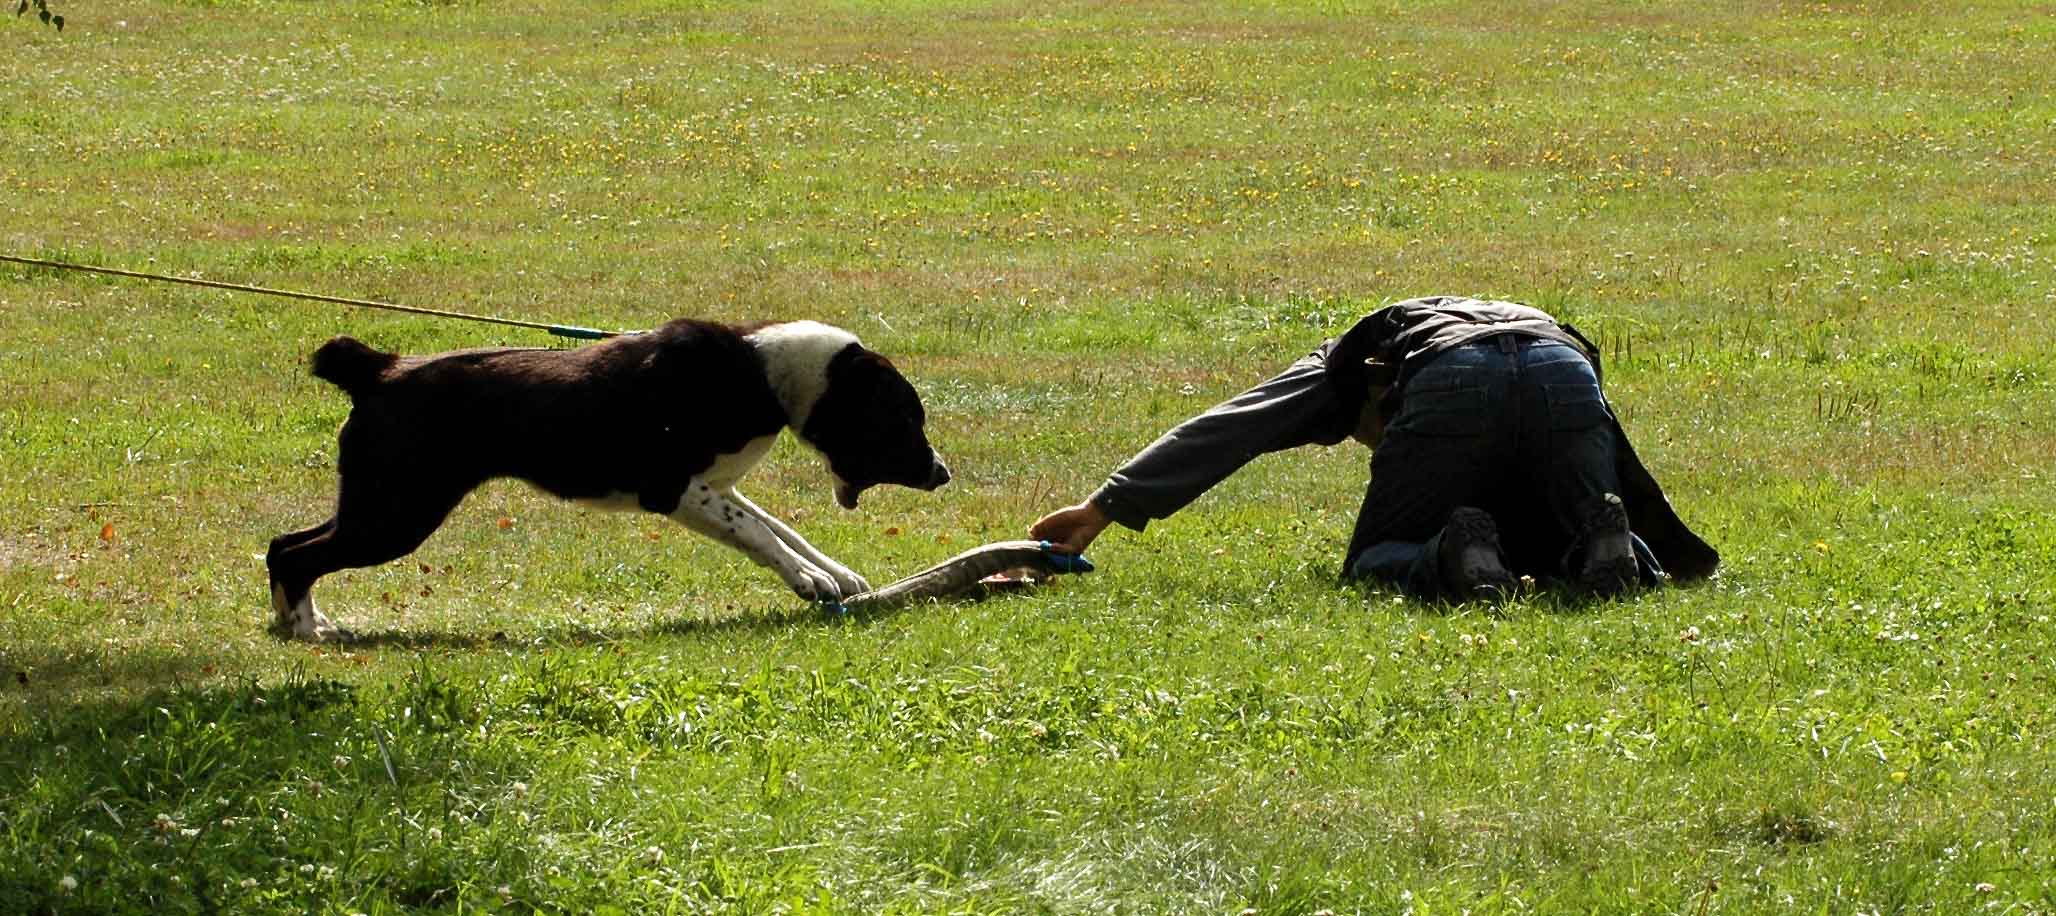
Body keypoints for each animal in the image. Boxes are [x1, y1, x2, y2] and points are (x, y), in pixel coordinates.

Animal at [263, 318, 953, 640]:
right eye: (904, 417)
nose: (942, 473)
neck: (759, 374)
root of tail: (378, 370)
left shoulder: (718, 487)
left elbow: (781, 530)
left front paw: (833, 573)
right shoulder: (674, 488)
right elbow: (761, 536)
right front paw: (810, 581)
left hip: (375, 502)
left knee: (283, 545)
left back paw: (305, 623)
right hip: (398, 513)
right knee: (296, 556)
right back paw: (306, 632)